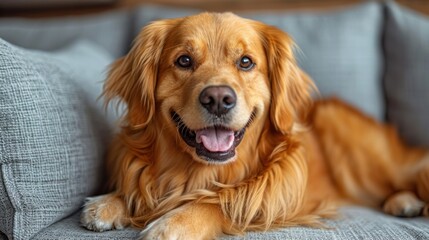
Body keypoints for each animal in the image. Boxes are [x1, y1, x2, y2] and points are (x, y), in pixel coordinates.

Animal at [79, 12, 428, 239]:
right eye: (184, 60)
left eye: (246, 62)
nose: (218, 99)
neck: (198, 173)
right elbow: (138, 189)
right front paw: (109, 203)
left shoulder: (273, 197)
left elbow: (222, 201)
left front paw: (172, 224)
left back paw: (406, 200)